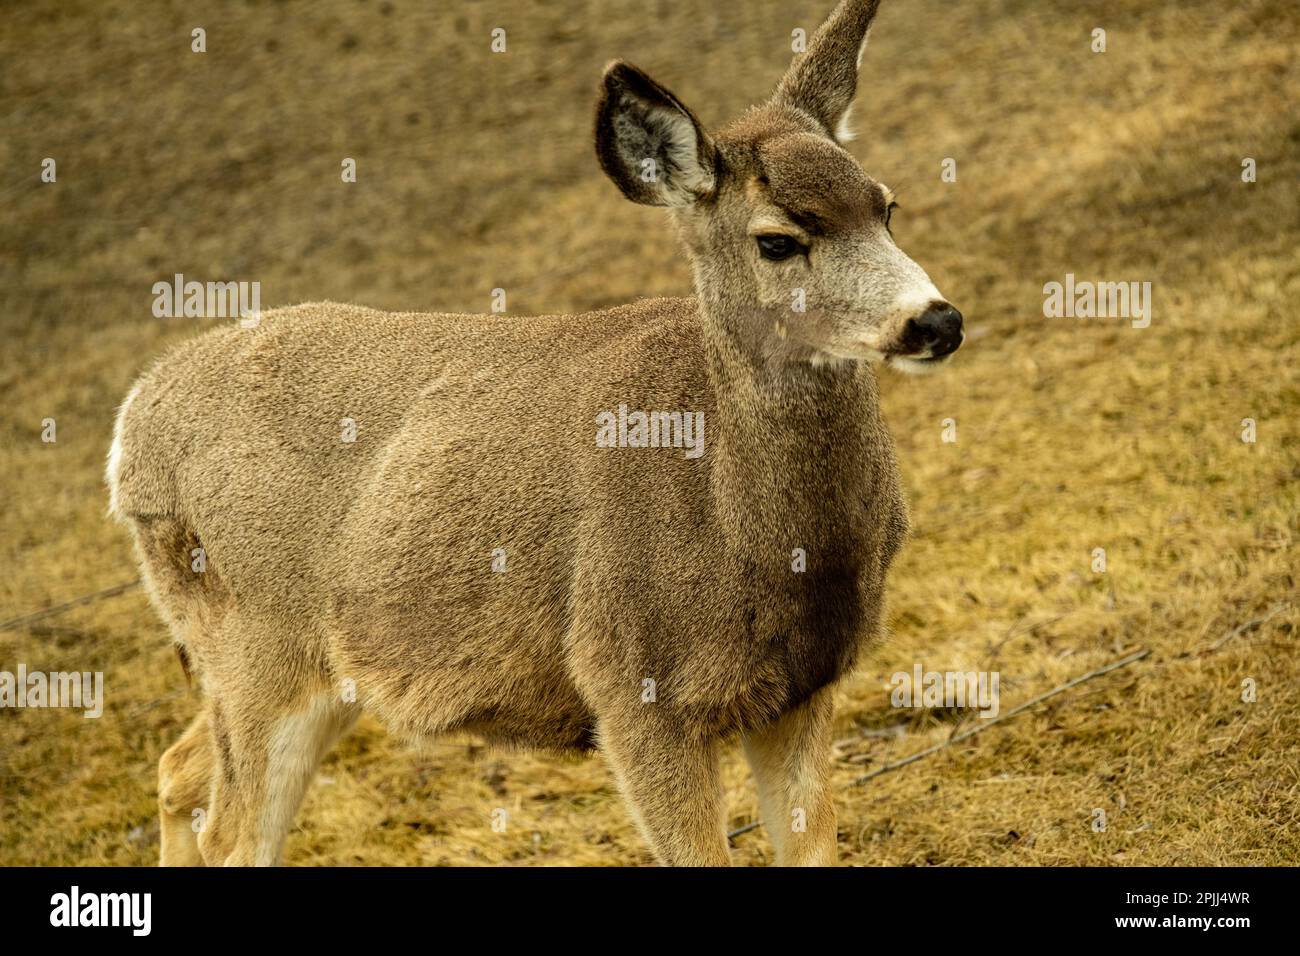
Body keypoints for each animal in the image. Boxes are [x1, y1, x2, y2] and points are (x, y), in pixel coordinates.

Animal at [106, 0, 963, 867]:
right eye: (778, 239)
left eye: (886, 206)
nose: (936, 320)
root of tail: (130, 426)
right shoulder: (631, 686)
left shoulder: (805, 683)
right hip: (257, 638)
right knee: (230, 833)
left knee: (177, 769)